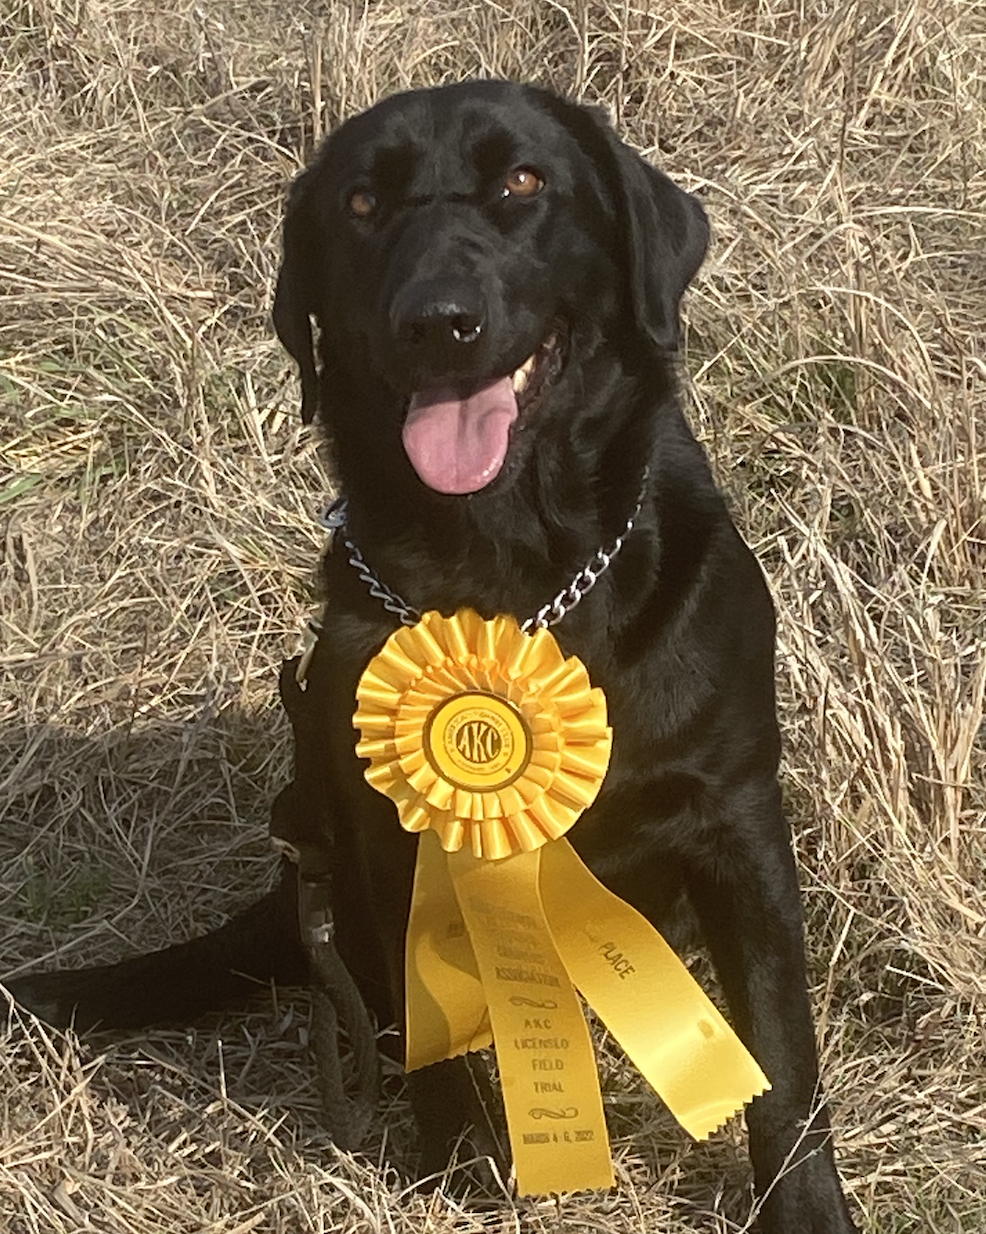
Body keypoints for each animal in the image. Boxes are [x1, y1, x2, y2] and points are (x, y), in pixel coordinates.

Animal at [5, 82, 853, 1229]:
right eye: (361, 204)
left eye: (524, 182)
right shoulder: (384, 832)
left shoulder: (736, 814)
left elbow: (779, 1050)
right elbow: (428, 1023)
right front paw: (461, 1158)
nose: (439, 320)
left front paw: (803, 1204)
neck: (512, 576)